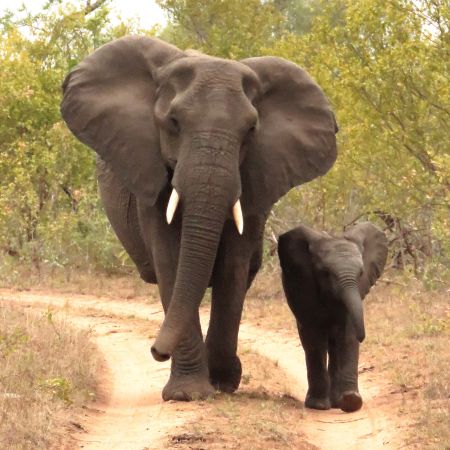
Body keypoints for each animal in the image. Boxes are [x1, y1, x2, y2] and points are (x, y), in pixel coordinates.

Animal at [62, 36, 338, 400]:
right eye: (174, 122)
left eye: (251, 130)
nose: (156, 351)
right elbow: (170, 258)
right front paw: (188, 393)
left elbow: (233, 265)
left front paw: (221, 382)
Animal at [278, 221, 386, 412]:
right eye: (326, 273)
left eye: (361, 273)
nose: (364, 337)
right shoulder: (305, 286)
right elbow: (315, 338)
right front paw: (319, 406)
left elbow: (348, 335)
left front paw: (352, 401)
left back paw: (337, 402)